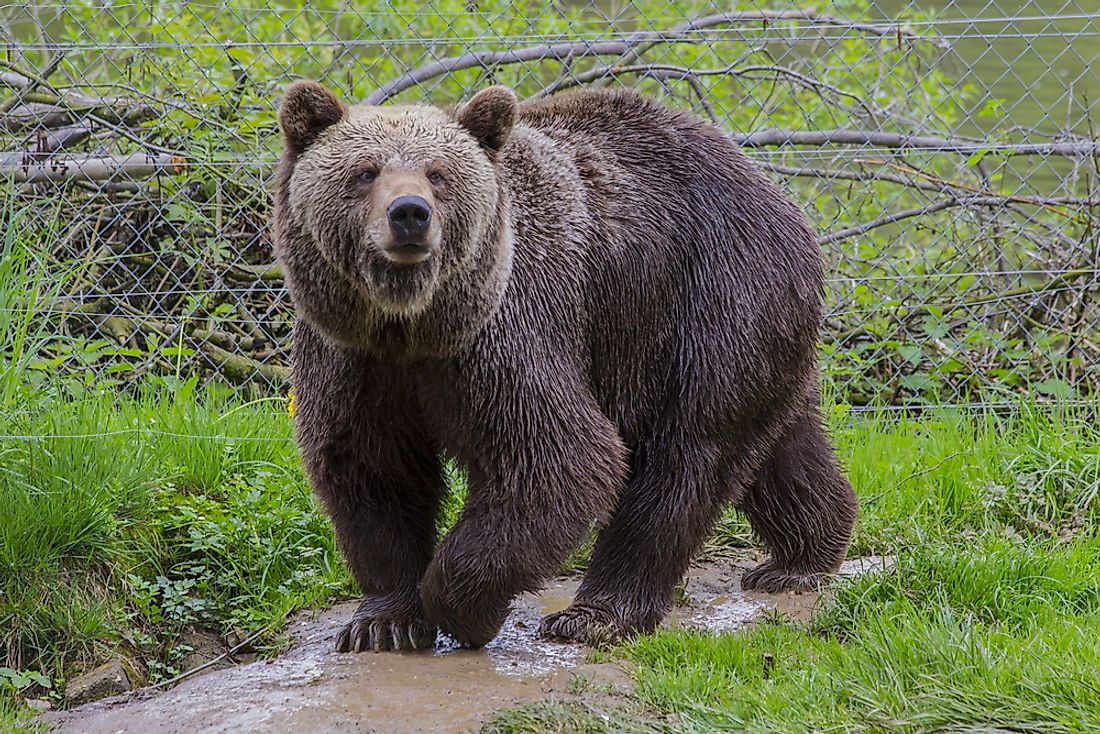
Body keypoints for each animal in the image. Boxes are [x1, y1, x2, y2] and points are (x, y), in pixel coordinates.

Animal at [272, 80, 858, 651]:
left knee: (687, 452)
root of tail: (771, 188)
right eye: (365, 171)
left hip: (709, 299)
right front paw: (382, 622)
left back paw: (597, 614)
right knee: (780, 444)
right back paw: (802, 557)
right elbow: (373, 472)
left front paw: (464, 609)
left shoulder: (507, 334)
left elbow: (559, 461)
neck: (414, 325)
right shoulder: (353, 358)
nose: (410, 214)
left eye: (438, 174)